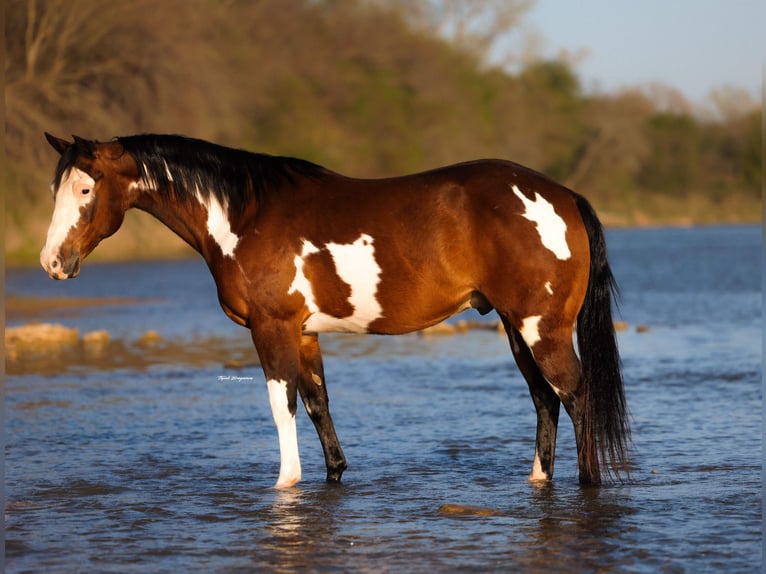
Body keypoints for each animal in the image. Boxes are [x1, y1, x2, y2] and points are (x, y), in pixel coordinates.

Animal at [40, 132, 630, 488]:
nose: (52, 262)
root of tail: (563, 196)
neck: (243, 215)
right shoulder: (304, 333)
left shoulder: (272, 329)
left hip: (540, 327)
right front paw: (332, 473)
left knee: (575, 395)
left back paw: (588, 481)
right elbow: (317, 404)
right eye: (56, 189)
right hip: (514, 325)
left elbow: (281, 405)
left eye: (86, 189)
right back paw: (537, 480)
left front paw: (285, 483)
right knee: (545, 400)